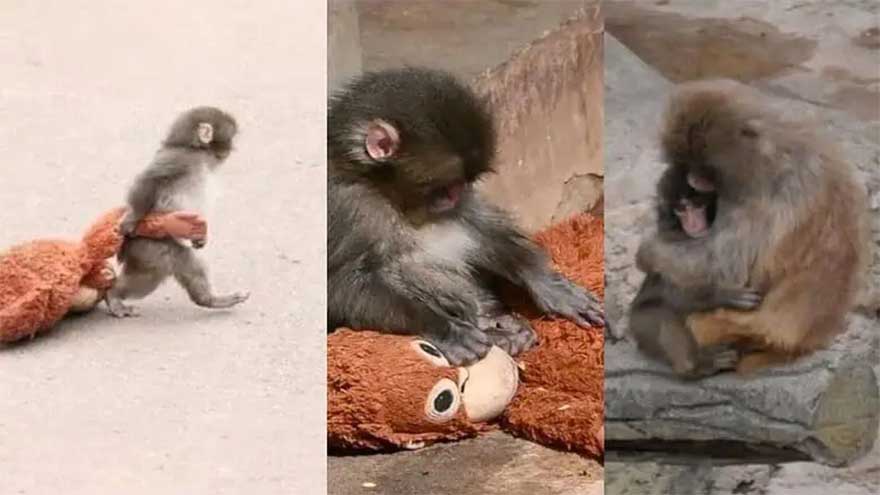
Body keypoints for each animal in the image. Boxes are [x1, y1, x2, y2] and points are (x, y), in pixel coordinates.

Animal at [105, 106, 250, 317]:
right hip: (150, 246)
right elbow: (150, 180)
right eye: (230, 138)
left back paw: (211, 300)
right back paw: (113, 295)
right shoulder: (179, 159)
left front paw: (200, 238)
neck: (195, 151)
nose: (231, 149)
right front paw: (131, 219)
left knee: (188, 265)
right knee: (148, 276)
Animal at [328, 67, 604, 366]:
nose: (456, 197)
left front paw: (546, 282)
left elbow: (478, 225)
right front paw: (445, 329)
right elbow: (342, 286)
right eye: (446, 187)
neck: (385, 192)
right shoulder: (347, 207)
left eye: (463, 184)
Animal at [635, 79, 870, 374]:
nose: (693, 179)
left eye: (705, 166)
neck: (771, 150)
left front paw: (648, 252)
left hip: (722, 326)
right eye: (688, 162)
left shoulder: (761, 193)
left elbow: (724, 266)